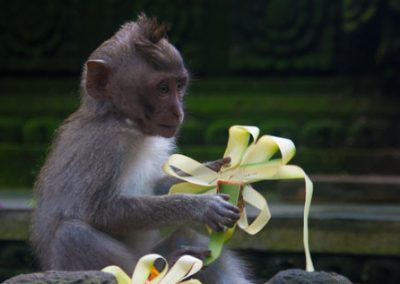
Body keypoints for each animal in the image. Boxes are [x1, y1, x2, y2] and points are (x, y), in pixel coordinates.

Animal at [32, 13, 253, 284]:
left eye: (179, 85)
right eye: (162, 89)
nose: (178, 112)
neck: (124, 121)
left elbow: (157, 186)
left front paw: (209, 171)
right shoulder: (106, 143)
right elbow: (99, 210)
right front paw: (198, 206)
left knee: (189, 238)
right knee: (72, 234)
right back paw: (170, 264)